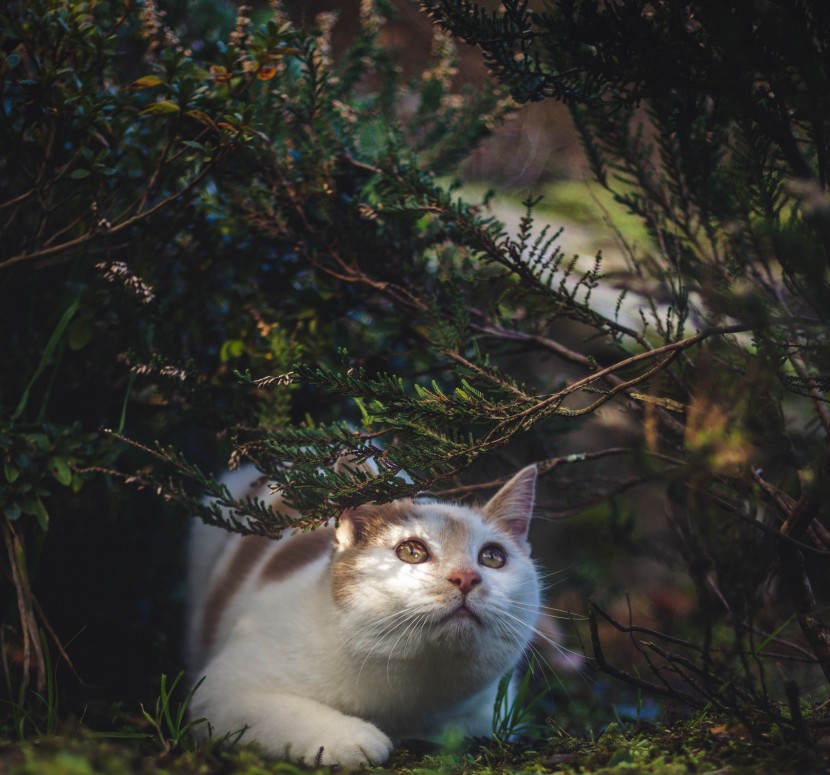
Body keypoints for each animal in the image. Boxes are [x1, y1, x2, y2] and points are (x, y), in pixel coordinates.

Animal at [185, 458, 544, 768]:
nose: (466, 577)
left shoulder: (490, 715)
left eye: (493, 557)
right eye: (412, 551)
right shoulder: (220, 689)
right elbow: (278, 712)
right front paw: (348, 738)